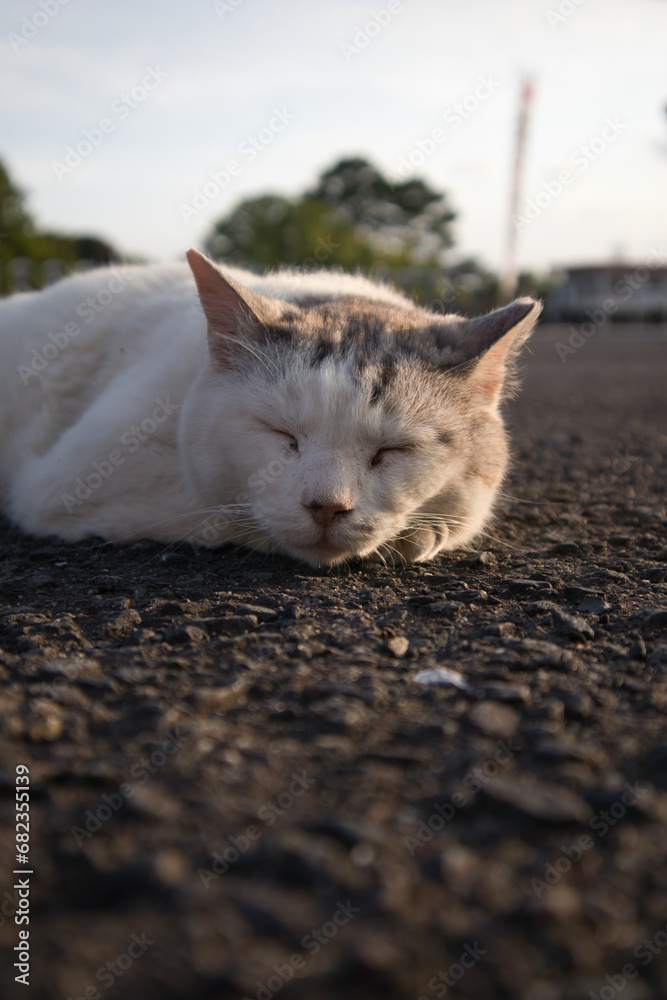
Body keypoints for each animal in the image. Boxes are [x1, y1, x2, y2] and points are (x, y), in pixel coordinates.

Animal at [0, 249, 541, 567]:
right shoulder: (70, 481)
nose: (327, 507)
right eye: (282, 435)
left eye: (392, 451)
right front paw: (418, 537)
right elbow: (228, 514)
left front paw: (429, 531)